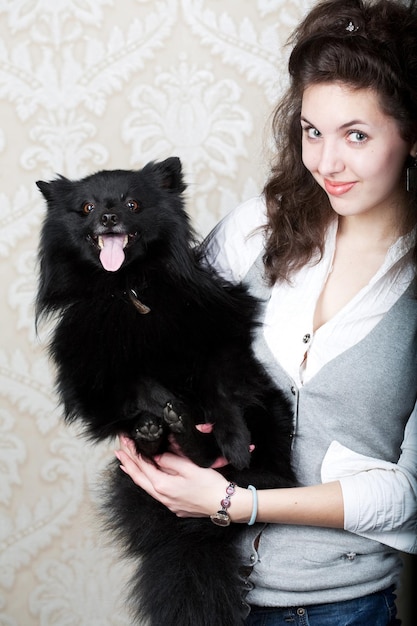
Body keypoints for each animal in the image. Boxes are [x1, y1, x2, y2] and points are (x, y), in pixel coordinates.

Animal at [36, 157, 296, 624]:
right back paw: (159, 431)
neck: (127, 291)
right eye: (86, 208)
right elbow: (139, 384)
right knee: (166, 448)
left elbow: (218, 391)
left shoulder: (219, 343)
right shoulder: (93, 384)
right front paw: (163, 408)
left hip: (271, 412)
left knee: (251, 470)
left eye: (132, 204)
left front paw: (233, 438)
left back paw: (197, 439)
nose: (108, 217)